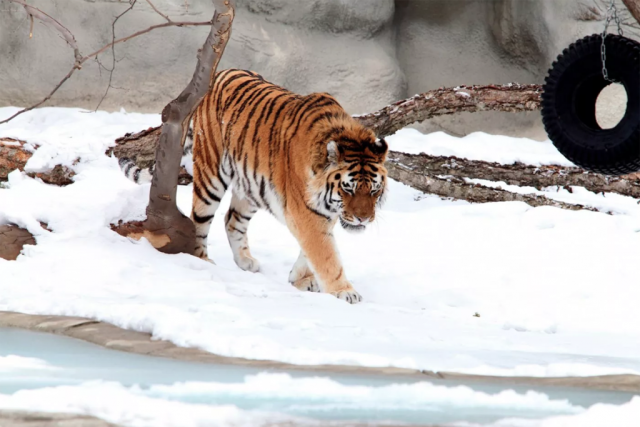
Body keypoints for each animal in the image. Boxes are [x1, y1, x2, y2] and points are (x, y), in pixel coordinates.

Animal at [121, 69, 390, 304]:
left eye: (374, 190)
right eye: (348, 188)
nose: (363, 219)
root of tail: (219, 74)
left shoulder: (323, 213)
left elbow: (312, 249)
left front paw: (300, 279)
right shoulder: (307, 213)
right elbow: (326, 254)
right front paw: (345, 292)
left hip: (252, 185)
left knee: (232, 219)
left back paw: (244, 261)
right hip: (211, 176)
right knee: (199, 221)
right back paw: (202, 261)